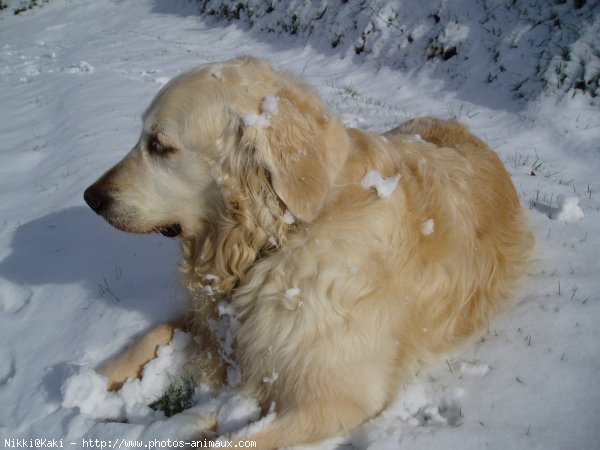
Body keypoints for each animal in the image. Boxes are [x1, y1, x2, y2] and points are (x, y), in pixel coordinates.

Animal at [82, 57, 532, 450]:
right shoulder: (220, 319)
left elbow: (231, 443)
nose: (91, 197)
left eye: (160, 145)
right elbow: (155, 332)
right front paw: (92, 383)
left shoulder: (333, 400)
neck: (282, 239)